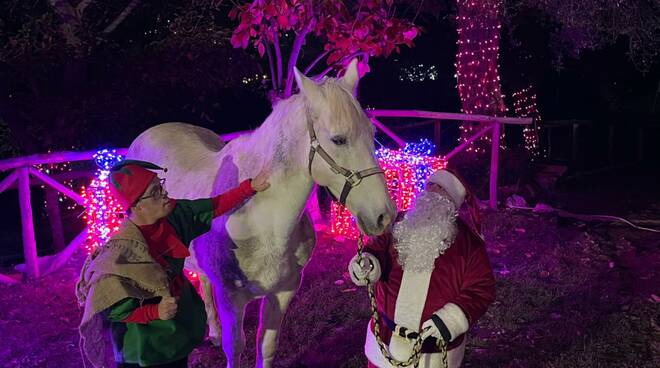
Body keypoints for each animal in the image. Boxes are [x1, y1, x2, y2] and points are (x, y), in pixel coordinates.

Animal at [126, 59, 394, 366]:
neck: (263, 222)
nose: (385, 215)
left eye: (373, 135)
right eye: (339, 139)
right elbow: (235, 347)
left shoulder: (284, 291)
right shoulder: (231, 299)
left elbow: (266, 346)